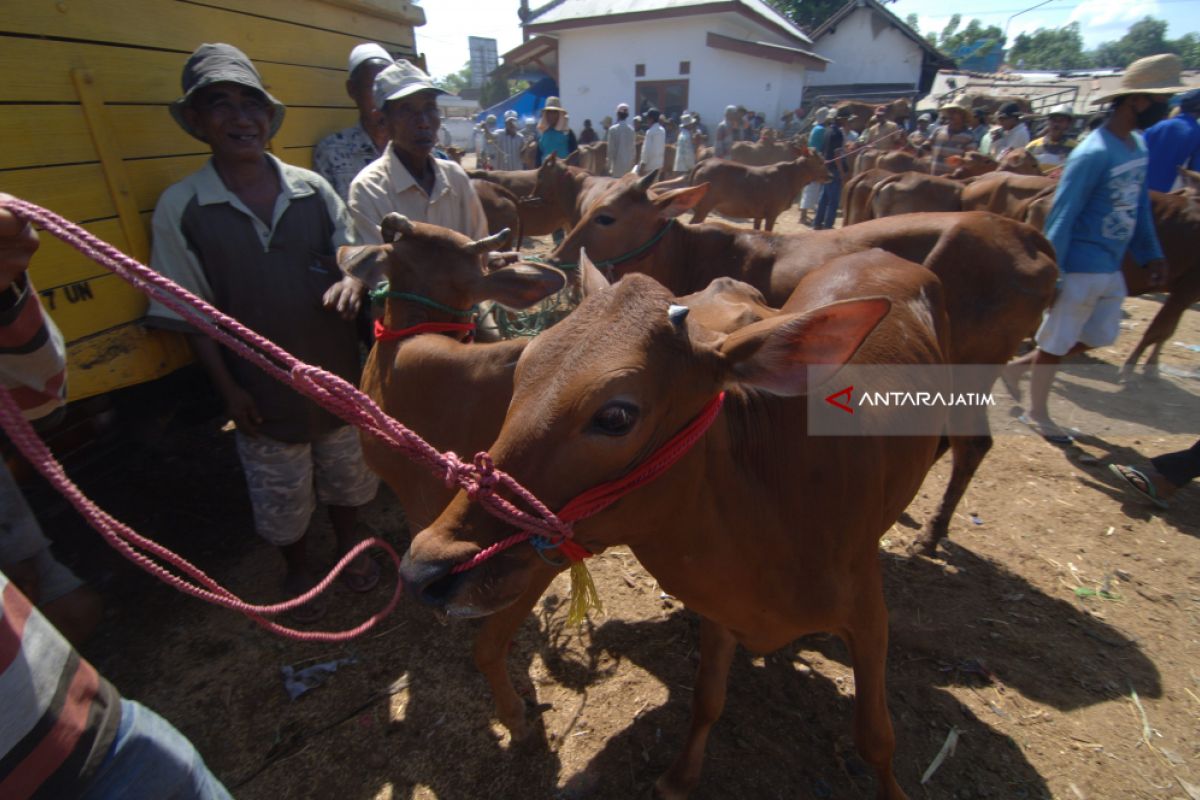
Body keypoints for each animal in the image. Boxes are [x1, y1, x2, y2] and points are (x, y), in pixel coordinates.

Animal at [398, 251, 950, 800]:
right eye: (522, 372)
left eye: (616, 416)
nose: (425, 568)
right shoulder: (720, 608)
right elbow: (707, 698)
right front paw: (679, 778)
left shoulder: (868, 612)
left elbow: (875, 737)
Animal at [549, 173, 1056, 556]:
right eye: (584, 207)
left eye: (607, 216)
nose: (558, 261)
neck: (693, 252)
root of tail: (1033, 240)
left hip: (974, 369)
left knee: (972, 444)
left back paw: (931, 534)